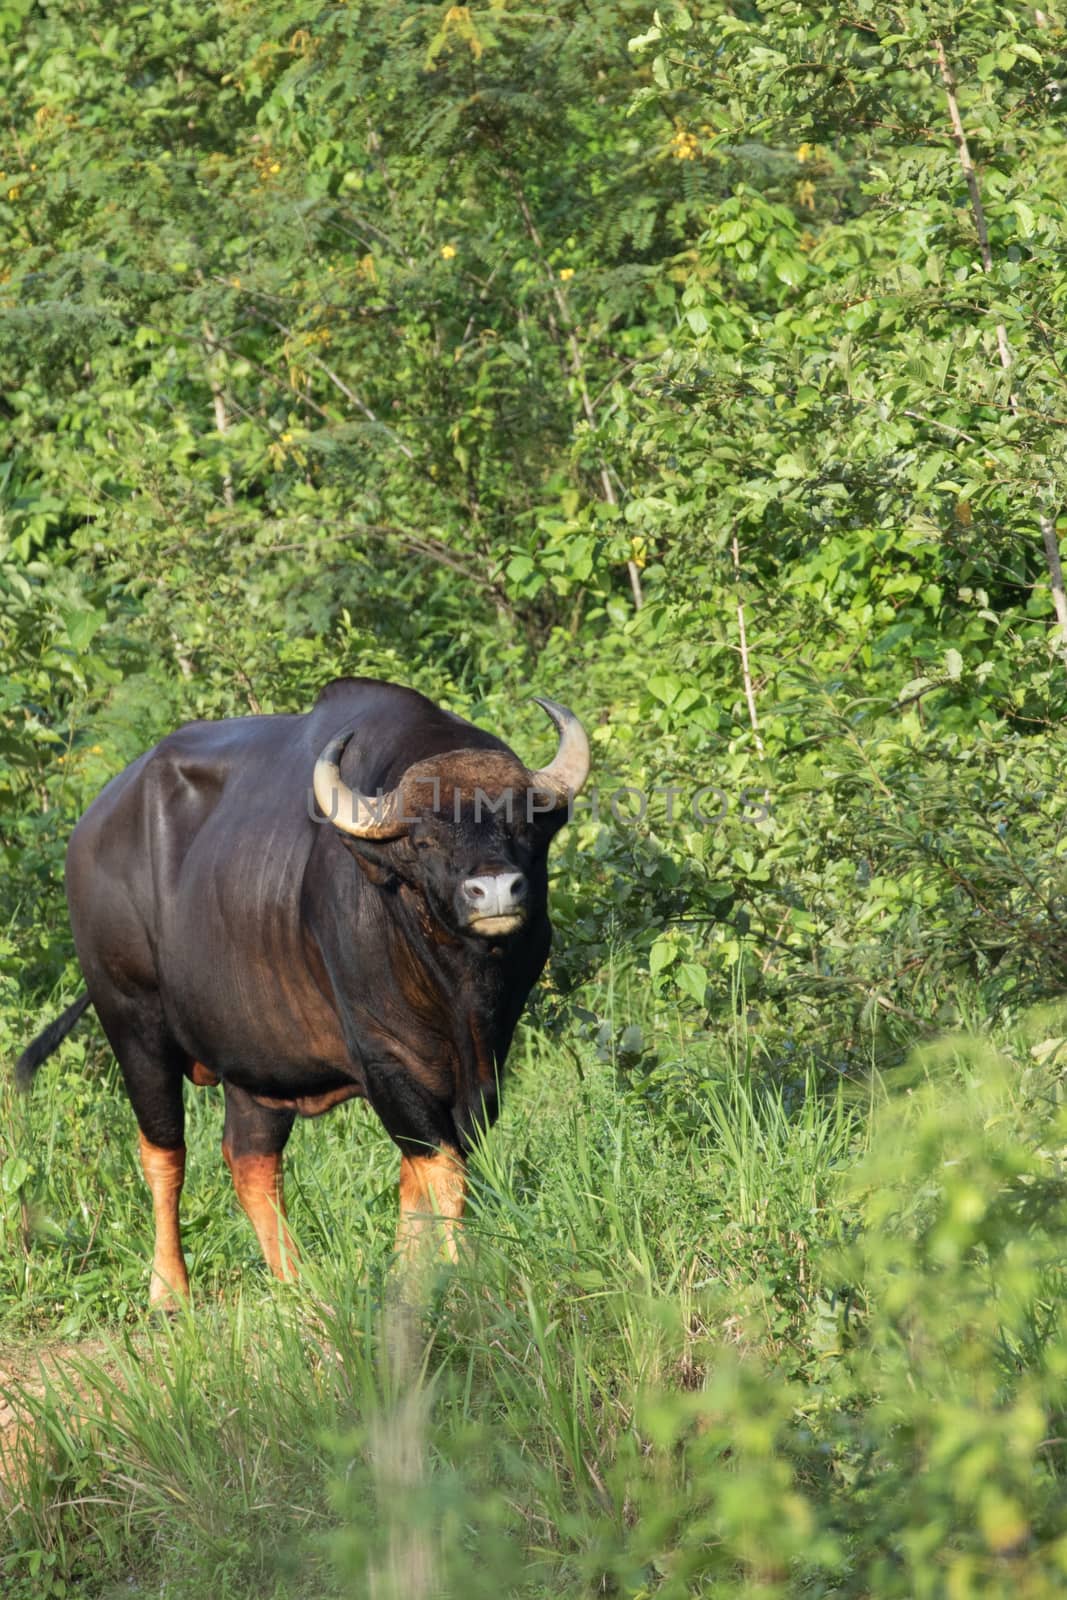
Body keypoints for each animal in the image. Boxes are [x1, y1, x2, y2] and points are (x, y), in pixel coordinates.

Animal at [14, 675, 591, 1299]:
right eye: (423, 840)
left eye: (524, 823)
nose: (496, 890)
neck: (458, 987)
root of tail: (88, 833)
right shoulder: (384, 1058)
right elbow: (441, 1169)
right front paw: (458, 1273)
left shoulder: (486, 1061)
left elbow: (425, 1172)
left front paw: (410, 1277)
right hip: (132, 1023)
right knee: (164, 1152)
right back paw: (169, 1291)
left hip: (254, 1060)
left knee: (250, 1160)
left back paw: (296, 1286)